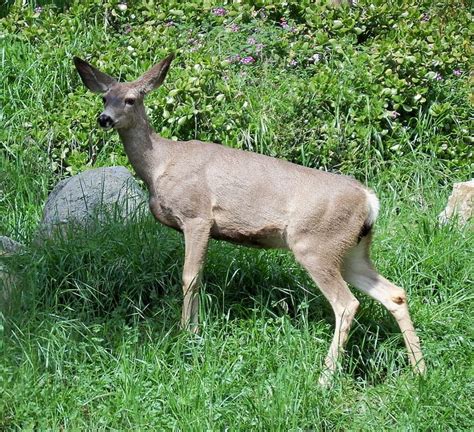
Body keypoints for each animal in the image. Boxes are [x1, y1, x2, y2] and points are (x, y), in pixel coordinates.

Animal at [73, 53, 426, 384]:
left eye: (131, 99)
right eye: (105, 97)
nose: (104, 119)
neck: (159, 164)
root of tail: (369, 199)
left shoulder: (197, 215)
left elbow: (190, 276)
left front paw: (186, 334)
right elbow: (199, 277)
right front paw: (195, 333)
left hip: (315, 244)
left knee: (347, 304)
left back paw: (325, 378)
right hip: (351, 250)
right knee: (395, 293)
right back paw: (419, 370)